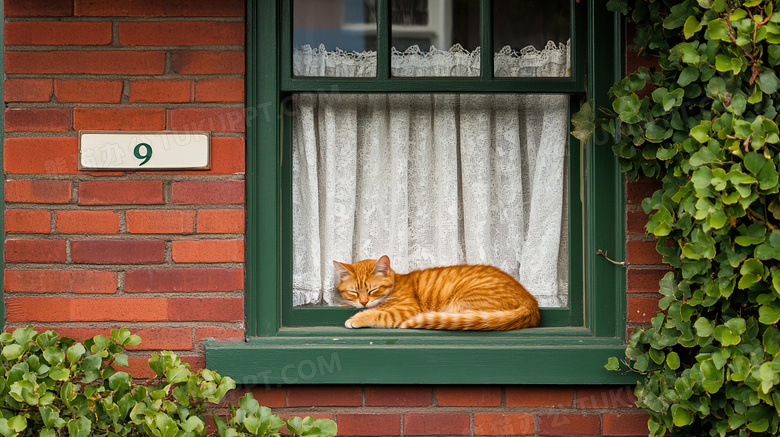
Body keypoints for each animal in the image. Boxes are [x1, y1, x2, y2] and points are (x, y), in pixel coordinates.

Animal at [332, 254, 540, 328]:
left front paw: (358, 317)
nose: (363, 301)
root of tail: (531, 303)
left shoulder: (406, 310)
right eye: (354, 292)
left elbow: (378, 314)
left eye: (373, 290)